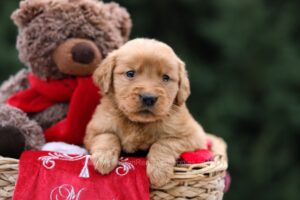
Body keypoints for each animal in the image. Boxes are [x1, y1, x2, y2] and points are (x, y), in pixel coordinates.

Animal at [84, 38, 206, 187]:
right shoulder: (93, 131)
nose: (149, 98)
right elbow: (107, 136)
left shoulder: (194, 136)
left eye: (166, 77)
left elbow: (165, 143)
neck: (139, 123)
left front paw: (159, 172)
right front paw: (103, 159)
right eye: (130, 73)